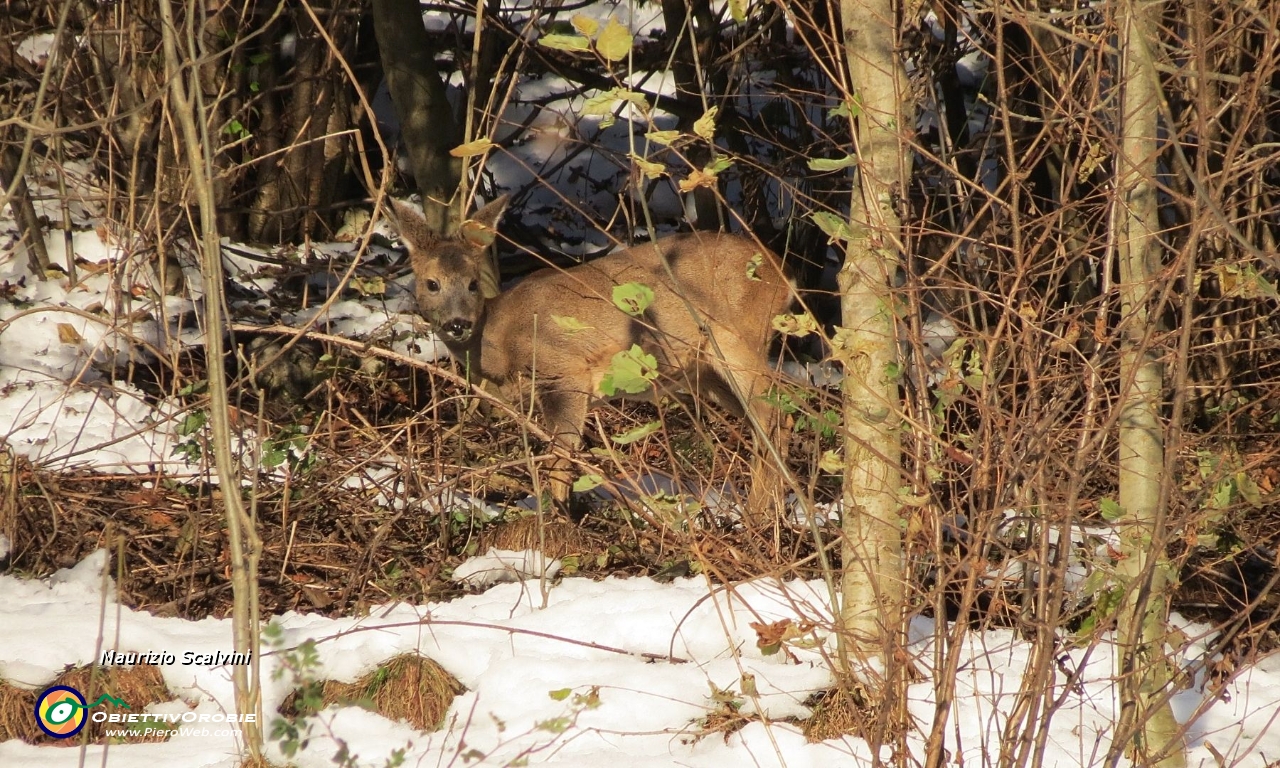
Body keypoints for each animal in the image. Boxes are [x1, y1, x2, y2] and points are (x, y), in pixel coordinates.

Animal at [391, 194, 788, 519]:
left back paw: (758, 515)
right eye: (432, 283)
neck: (499, 343)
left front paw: (559, 518)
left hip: (736, 339)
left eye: (473, 283)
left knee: (774, 414)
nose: (458, 323)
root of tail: (780, 274)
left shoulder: (565, 371)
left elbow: (561, 456)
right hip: (704, 372)